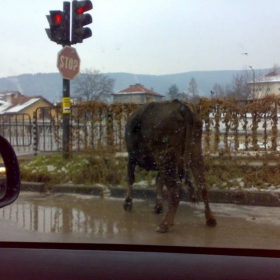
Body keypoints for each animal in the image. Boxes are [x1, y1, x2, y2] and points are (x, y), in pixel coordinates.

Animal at [123, 99, 218, 233]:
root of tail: (181, 107)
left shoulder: (131, 157)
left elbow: (130, 179)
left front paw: (128, 203)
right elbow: (159, 180)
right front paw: (158, 206)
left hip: (165, 158)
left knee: (175, 189)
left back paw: (164, 224)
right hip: (195, 155)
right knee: (202, 186)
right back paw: (210, 220)